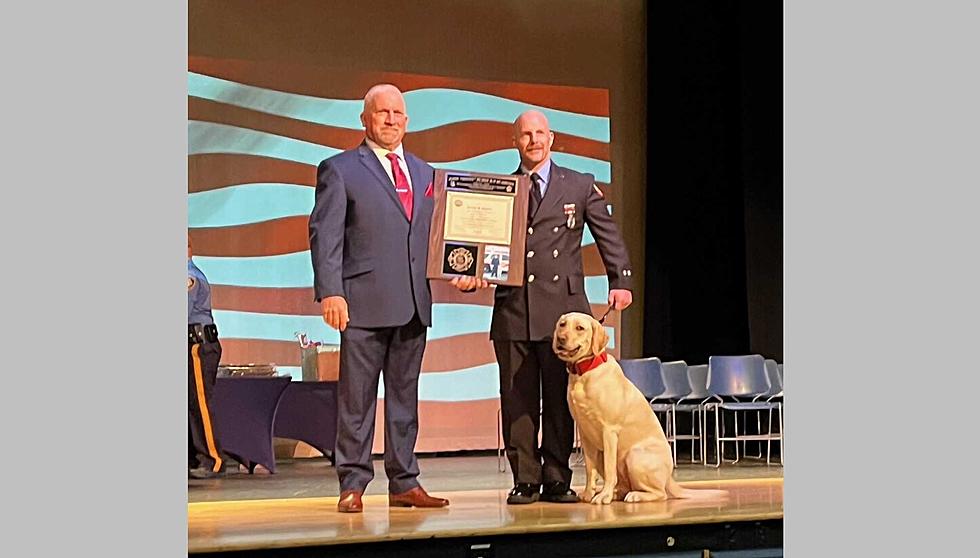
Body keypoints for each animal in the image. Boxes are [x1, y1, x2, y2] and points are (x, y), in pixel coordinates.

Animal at [556, 312, 724, 506]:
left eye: (580, 328)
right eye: (562, 325)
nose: (560, 338)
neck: (585, 371)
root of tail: (669, 479)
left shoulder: (609, 431)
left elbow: (609, 471)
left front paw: (603, 496)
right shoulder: (585, 435)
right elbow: (590, 469)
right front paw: (588, 494)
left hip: (633, 455)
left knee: (660, 493)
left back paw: (633, 495)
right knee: (623, 485)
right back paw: (615, 493)